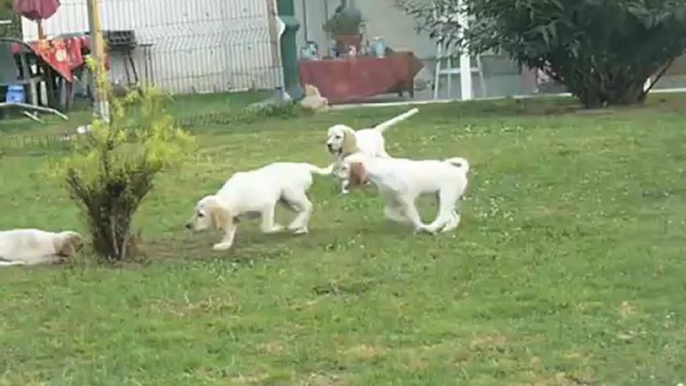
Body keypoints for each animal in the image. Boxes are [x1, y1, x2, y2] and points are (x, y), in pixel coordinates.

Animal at [185, 161, 336, 252]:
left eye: (201, 214)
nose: (187, 226)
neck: (232, 198)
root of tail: (302, 166)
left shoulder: (267, 205)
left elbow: (266, 227)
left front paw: (278, 227)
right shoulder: (234, 218)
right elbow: (229, 232)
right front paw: (224, 244)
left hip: (291, 194)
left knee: (308, 206)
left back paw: (295, 225)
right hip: (286, 200)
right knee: (303, 210)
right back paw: (300, 227)